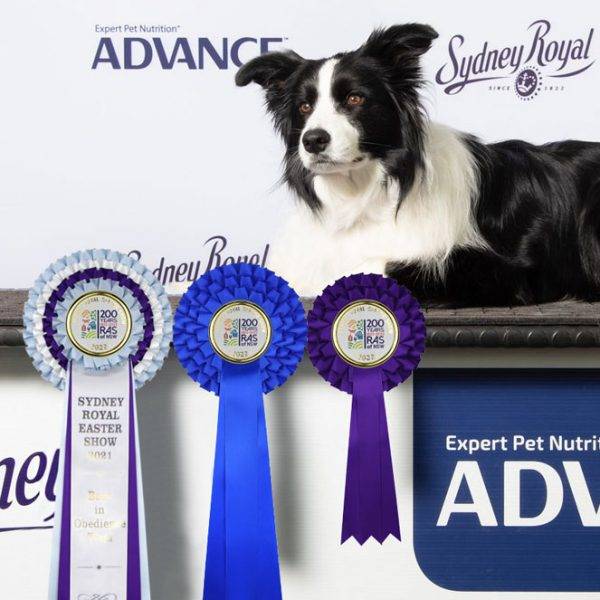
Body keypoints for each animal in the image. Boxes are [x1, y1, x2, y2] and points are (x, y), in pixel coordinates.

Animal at [234, 24, 600, 308]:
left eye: (355, 98)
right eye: (305, 107)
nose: (313, 140)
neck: (362, 196)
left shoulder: (505, 271)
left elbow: (378, 266)